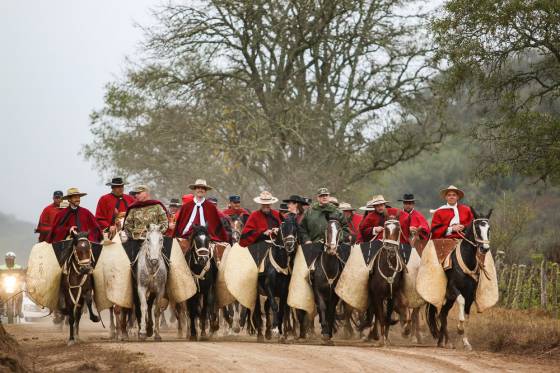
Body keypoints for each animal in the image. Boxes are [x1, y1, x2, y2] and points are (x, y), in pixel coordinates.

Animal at [426, 208, 492, 350]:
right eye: (477, 228)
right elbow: (461, 302)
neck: (467, 261)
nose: (484, 248)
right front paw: (459, 328)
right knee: (440, 313)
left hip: (450, 300)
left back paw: (444, 341)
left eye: (489, 228)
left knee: (443, 314)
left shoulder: (471, 294)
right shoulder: (453, 288)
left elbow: (467, 314)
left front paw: (466, 342)